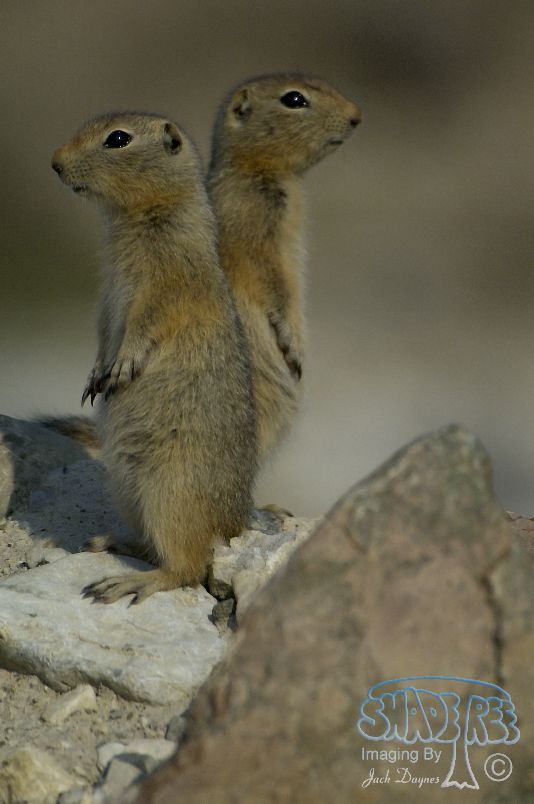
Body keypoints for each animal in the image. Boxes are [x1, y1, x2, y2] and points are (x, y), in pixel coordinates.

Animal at [41, 75, 360, 468]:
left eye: (116, 138)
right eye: (294, 100)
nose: (357, 116)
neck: (255, 171)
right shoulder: (259, 246)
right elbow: (277, 292)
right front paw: (293, 347)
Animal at [51, 112, 257, 603]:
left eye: (118, 139)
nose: (55, 162)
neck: (138, 218)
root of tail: (232, 527)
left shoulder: (163, 290)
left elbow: (145, 327)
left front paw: (121, 368)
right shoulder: (108, 297)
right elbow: (104, 331)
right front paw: (94, 377)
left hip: (170, 493)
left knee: (186, 568)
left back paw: (122, 582)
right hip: (129, 492)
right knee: (156, 549)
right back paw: (108, 541)